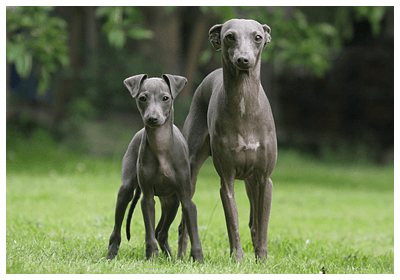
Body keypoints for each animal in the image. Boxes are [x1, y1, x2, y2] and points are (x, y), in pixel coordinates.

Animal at [107, 73, 203, 262]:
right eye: (142, 98)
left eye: (165, 98)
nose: (152, 118)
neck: (161, 146)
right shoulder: (147, 197)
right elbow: (148, 231)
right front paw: (151, 256)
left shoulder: (186, 199)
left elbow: (193, 232)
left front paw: (198, 259)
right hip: (126, 190)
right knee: (117, 230)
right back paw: (111, 255)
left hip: (172, 202)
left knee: (161, 232)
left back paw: (171, 259)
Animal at [179, 19, 278, 262]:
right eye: (229, 36)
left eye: (257, 37)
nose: (243, 60)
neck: (244, 105)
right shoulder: (227, 180)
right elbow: (232, 222)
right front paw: (238, 259)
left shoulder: (264, 179)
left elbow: (262, 225)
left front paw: (262, 260)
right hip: (191, 171)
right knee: (183, 222)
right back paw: (182, 256)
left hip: (252, 182)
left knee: (254, 222)